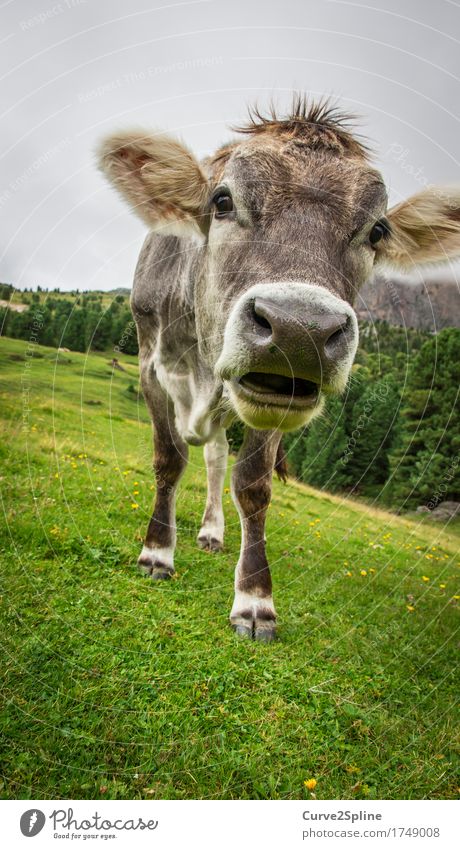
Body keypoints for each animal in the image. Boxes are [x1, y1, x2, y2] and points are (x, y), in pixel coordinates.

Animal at [99, 96, 460, 640]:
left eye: (378, 230)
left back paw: (212, 531)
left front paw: (254, 600)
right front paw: (157, 553)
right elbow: (169, 459)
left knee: (216, 459)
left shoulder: (277, 395)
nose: (300, 330)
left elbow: (252, 484)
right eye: (222, 201)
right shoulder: (149, 365)